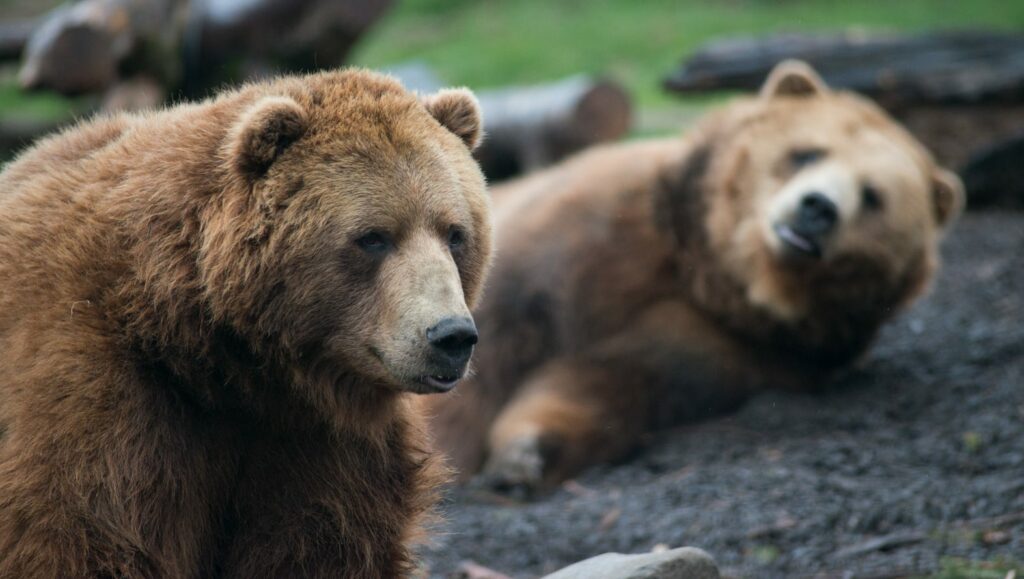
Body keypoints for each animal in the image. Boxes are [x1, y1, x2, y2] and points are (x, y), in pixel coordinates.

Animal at [0, 70, 493, 573]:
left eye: (455, 233)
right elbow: (80, 532)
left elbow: (319, 545)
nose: (450, 335)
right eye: (373, 237)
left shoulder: (315, 446)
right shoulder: (96, 393)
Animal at [419, 58, 962, 491]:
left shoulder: (731, 342)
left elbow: (613, 379)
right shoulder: (591, 233)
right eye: (807, 152)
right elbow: (495, 335)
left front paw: (526, 456)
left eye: (873, 196)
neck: (713, 269)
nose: (818, 209)